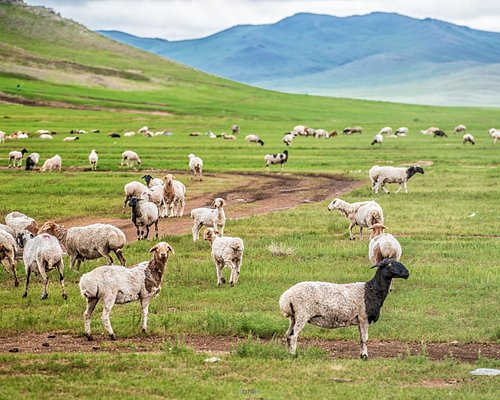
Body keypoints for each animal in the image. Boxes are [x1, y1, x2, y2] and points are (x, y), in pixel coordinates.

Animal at [280, 260, 408, 360]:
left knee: (288, 335)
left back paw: (289, 353)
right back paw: (294, 355)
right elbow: (365, 339)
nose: (407, 273)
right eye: (390, 264)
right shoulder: (363, 317)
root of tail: (286, 297)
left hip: (294, 317)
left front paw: (361, 355)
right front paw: (365, 356)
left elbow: (361, 339)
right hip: (302, 314)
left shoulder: (359, 319)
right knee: (293, 335)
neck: (372, 290)